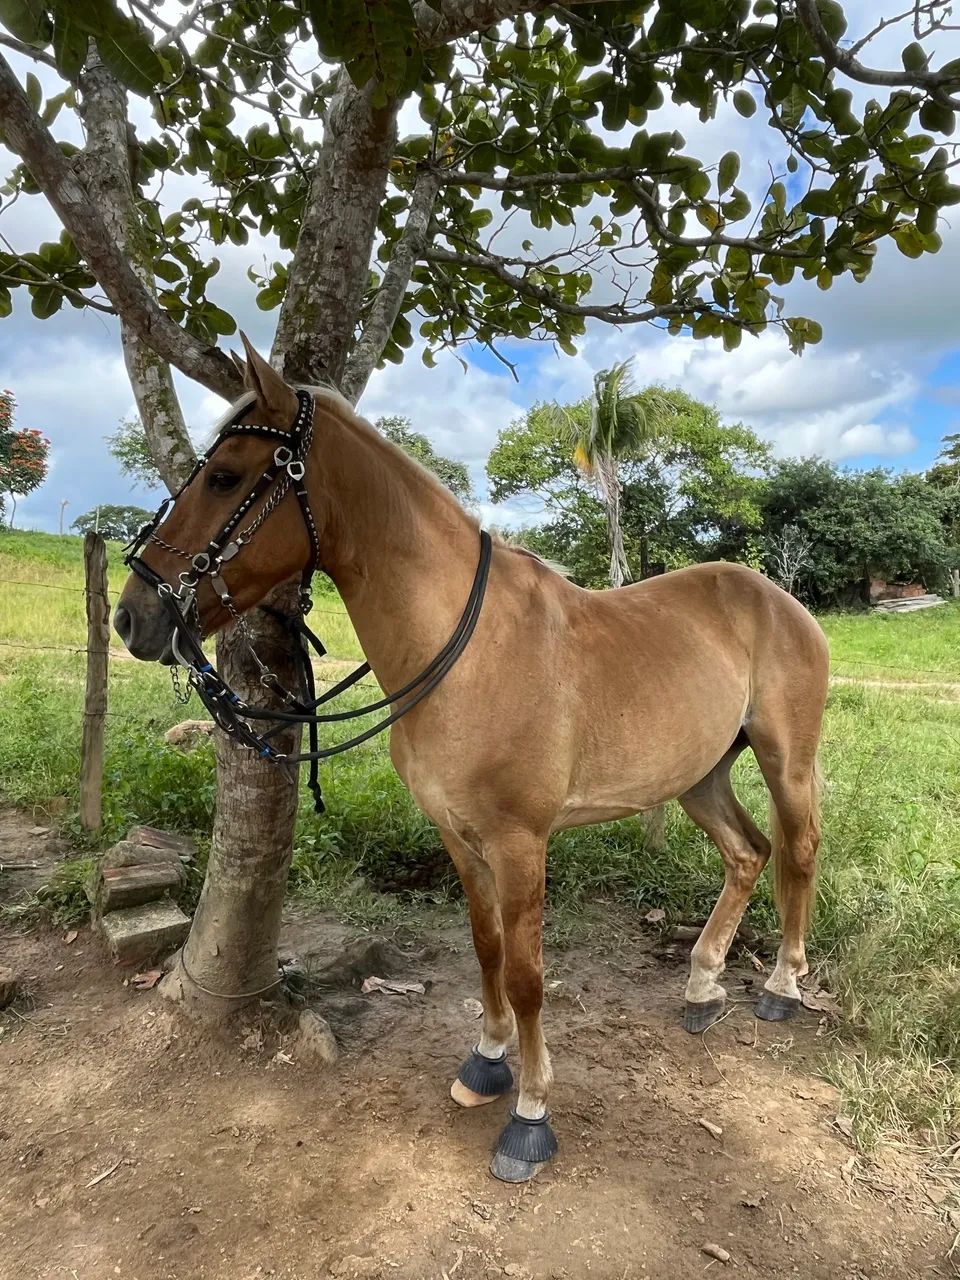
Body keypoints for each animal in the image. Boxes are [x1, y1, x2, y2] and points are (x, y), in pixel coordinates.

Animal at [115, 335, 829, 1183]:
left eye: (225, 476)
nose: (133, 616)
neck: (463, 650)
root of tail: (779, 599)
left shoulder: (520, 843)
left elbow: (525, 975)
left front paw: (531, 1111)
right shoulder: (458, 836)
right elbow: (487, 950)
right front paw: (487, 1062)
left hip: (787, 763)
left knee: (797, 853)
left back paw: (782, 985)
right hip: (700, 775)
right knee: (747, 855)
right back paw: (702, 985)